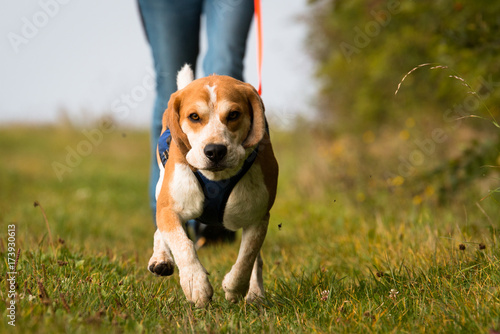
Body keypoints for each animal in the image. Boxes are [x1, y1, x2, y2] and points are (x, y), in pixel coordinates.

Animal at [148, 64, 280, 306]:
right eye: (194, 116)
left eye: (233, 114)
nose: (215, 151)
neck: (216, 179)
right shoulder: (169, 208)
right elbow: (182, 244)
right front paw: (195, 285)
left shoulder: (258, 217)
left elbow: (247, 258)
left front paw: (234, 288)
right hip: (161, 186)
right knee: (161, 230)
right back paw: (161, 258)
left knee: (256, 260)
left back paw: (256, 293)